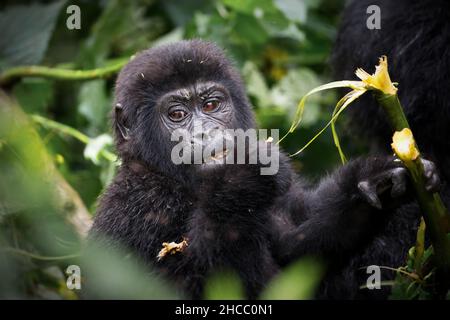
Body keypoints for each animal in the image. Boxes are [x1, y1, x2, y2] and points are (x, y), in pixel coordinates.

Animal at [89, 40, 438, 300]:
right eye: (177, 114)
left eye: (211, 105)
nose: (204, 133)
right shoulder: (143, 206)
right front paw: (241, 180)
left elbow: (296, 252)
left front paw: (372, 182)